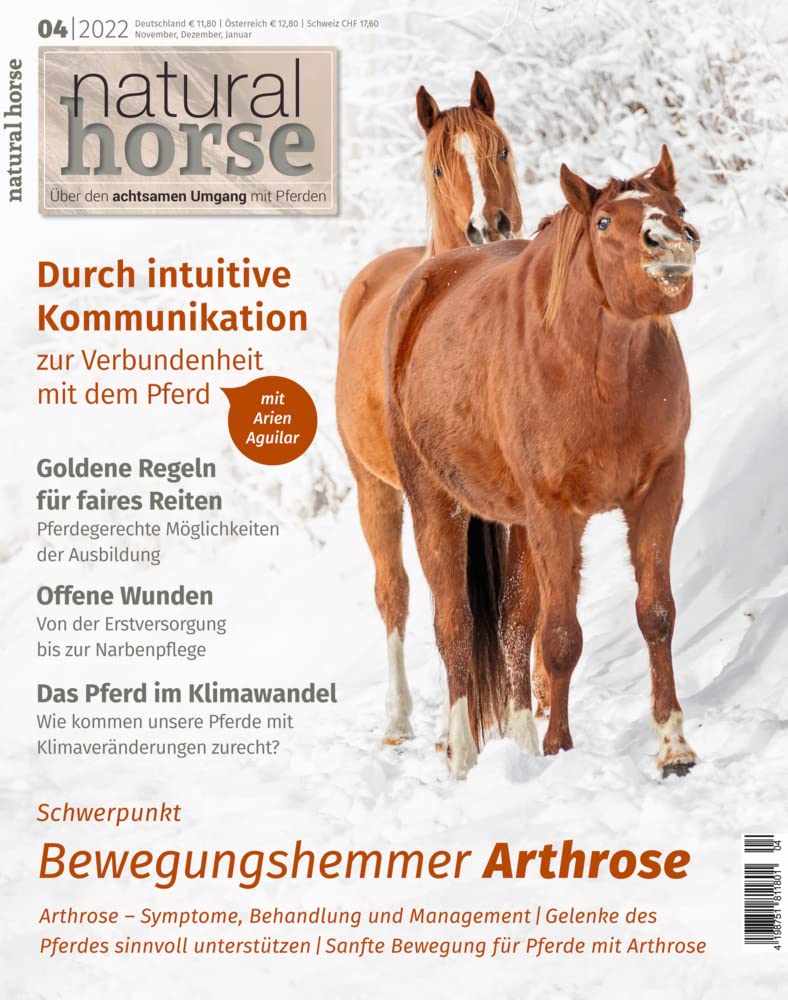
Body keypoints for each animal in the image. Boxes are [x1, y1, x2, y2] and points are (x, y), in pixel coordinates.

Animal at [336, 73, 525, 746]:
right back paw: (400, 719)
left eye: (501, 150)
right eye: (441, 167)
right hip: (375, 490)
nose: (489, 224)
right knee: (393, 591)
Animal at [385, 146, 701, 779]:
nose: (670, 244)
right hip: (436, 504)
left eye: (678, 207)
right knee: (454, 626)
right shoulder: (555, 512)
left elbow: (655, 614)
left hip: (517, 525)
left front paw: (673, 744)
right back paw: (461, 752)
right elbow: (560, 638)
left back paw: (520, 743)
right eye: (603, 222)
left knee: (512, 627)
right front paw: (560, 748)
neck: (597, 372)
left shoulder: (659, 489)